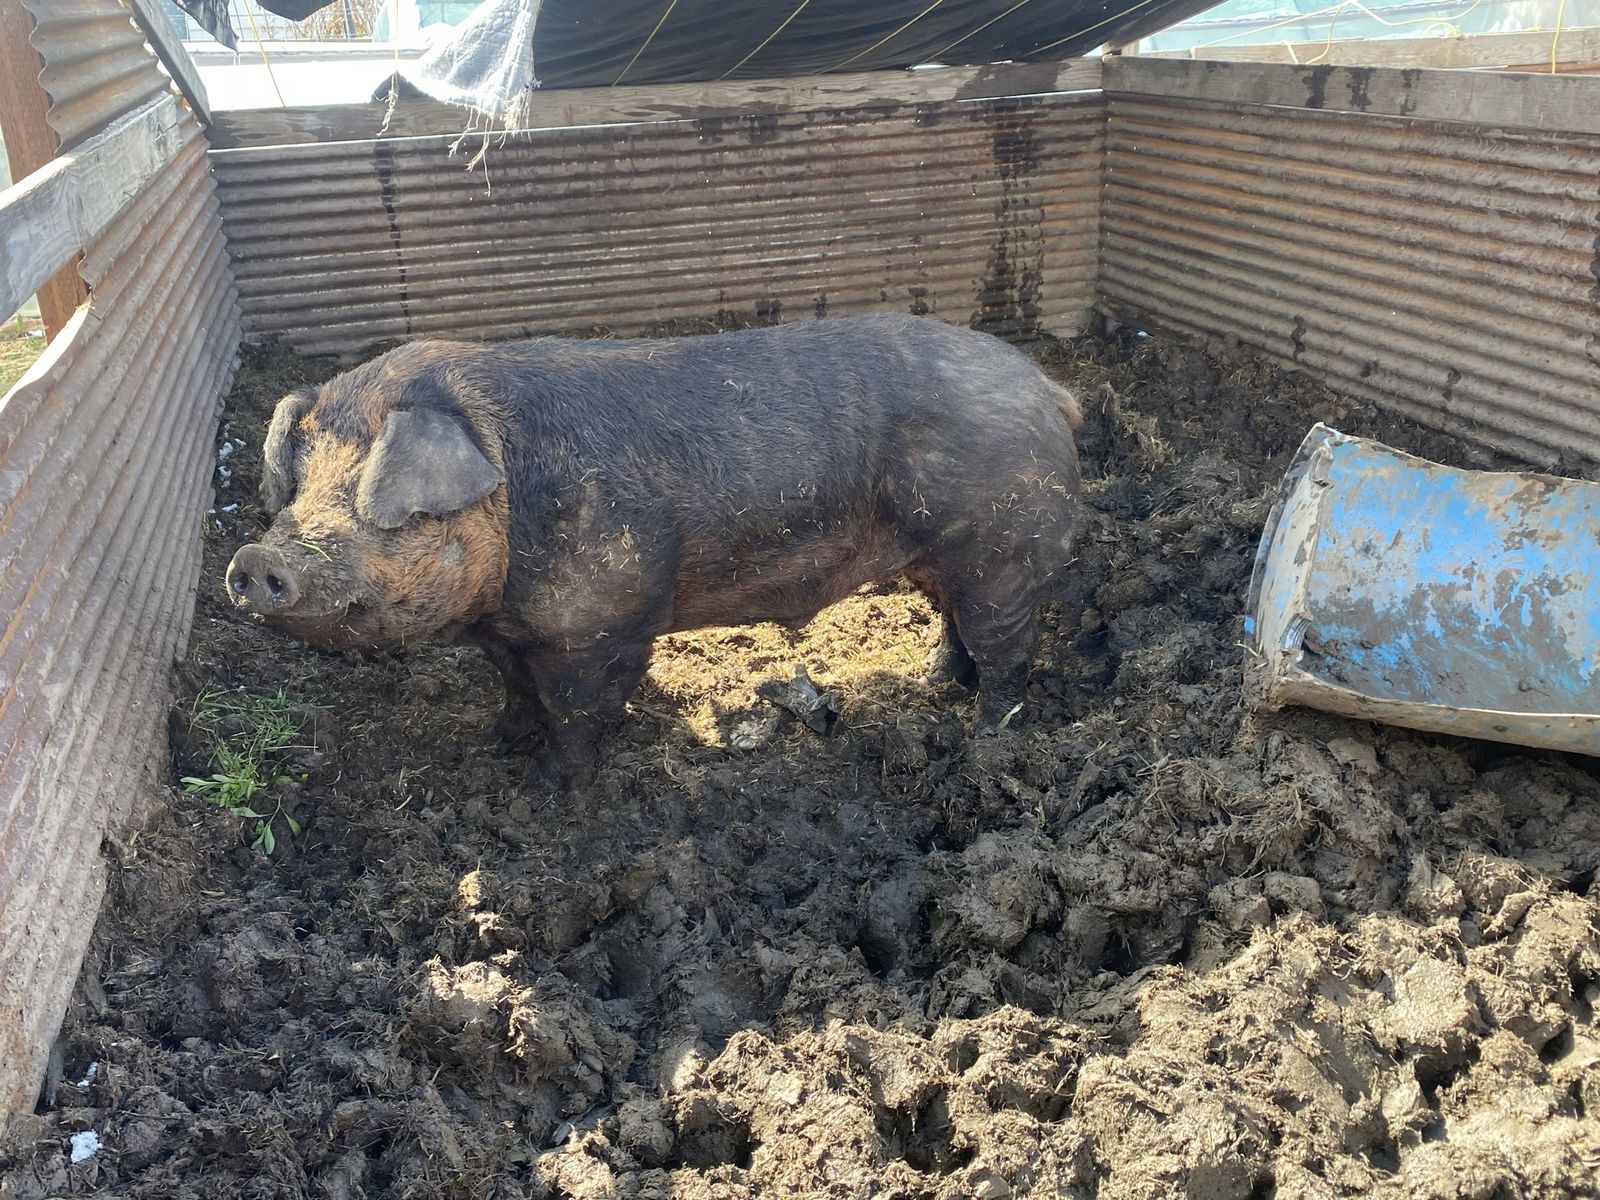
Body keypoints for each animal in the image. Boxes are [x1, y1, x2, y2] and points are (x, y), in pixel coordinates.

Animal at [226, 314, 1083, 787]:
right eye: (298, 487)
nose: (255, 560)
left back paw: (988, 737)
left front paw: (553, 789)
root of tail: (1048, 389)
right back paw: (937, 684)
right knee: (956, 623)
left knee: (1008, 650)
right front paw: (497, 744)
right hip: (946, 554)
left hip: (1007, 548)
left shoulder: (600, 626)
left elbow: (576, 712)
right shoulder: (509, 633)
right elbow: (515, 691)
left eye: (373, 497)